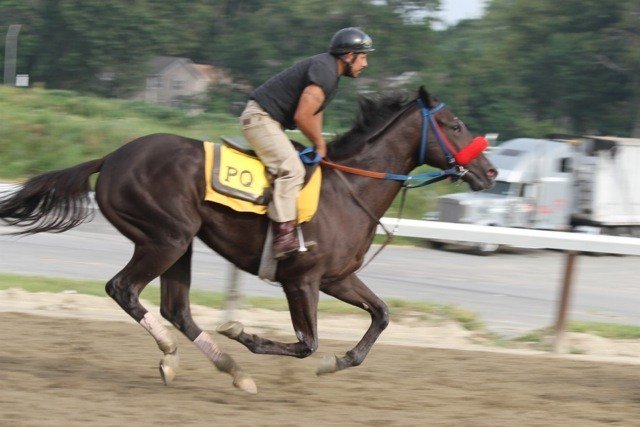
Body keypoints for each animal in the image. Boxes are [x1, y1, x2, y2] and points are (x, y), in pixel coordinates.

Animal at [0, 86, 496, 394]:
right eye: (454, 124)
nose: (489, 171)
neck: (349, 189)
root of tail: (113, 156)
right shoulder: (301, 279)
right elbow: (306, 342)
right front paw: (244, 333)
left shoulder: (336, 278)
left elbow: (381, 315)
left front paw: (336, 362)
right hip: (165, 237)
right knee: (124, 289)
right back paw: (176, 355)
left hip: (181, 242)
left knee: (175, 309)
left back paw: (228, 370)